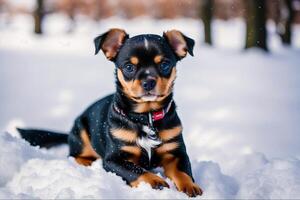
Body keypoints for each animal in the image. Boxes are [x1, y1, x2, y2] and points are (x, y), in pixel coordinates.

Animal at [17, 28, 203, 197]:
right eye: (129, 67)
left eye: (164, 64)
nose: (148, 82)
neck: (145, 117)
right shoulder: (113, 160)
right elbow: (136, 170)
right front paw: (156, 181)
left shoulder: (176, 153)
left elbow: (182, 171)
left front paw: (190, 186)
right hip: (81, 132)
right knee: (74, 155)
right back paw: (87, 163)